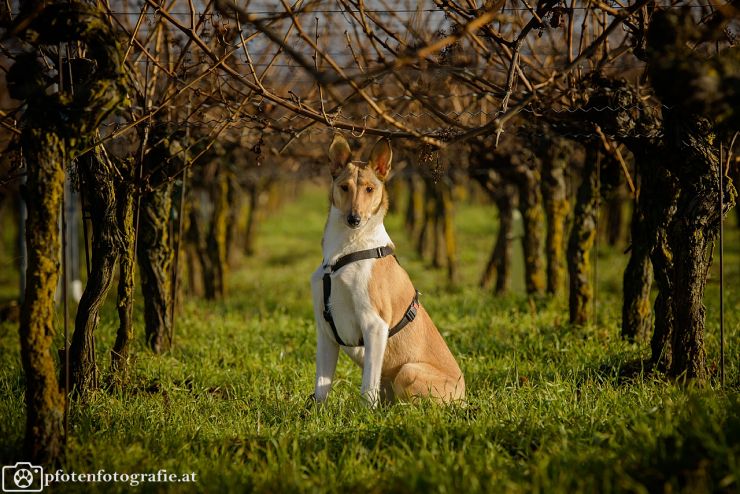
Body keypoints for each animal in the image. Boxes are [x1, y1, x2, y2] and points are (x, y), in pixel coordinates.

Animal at [310, 135, 466, 406]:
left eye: (370, 189)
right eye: (344, 187)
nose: (354, 219)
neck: (346, 251)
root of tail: (464, 395)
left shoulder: (374, 324)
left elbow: (367, 387)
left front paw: (366, 414)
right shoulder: (326, 331)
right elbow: (321, 387)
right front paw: (314, 413)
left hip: (407, 371)